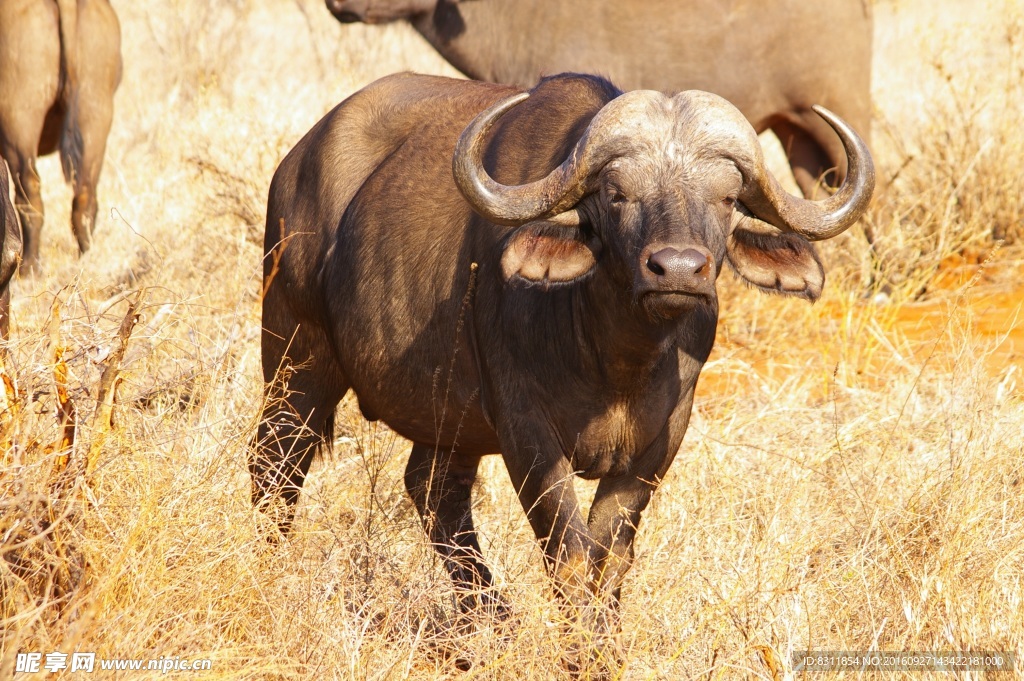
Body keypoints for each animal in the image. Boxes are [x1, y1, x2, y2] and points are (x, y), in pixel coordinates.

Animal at [0, 0, 121, 270]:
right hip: (95, 112)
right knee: (85, 196)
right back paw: (87, 262)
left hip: (18, 124)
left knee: (30, 196)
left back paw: (30, 267)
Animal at [251, 71, 876, 651]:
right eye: (616, 194)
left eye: (726, 199)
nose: (676, 269)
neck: (615, 360)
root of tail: (299, 159)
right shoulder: (526, 432)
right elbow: (569, 555)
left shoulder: (659, 441)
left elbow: (610, 558)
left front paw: (605, 646)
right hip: (295, 358)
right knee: (275, 467)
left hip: (447, 417)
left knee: (434, 490)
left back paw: (492, 621)